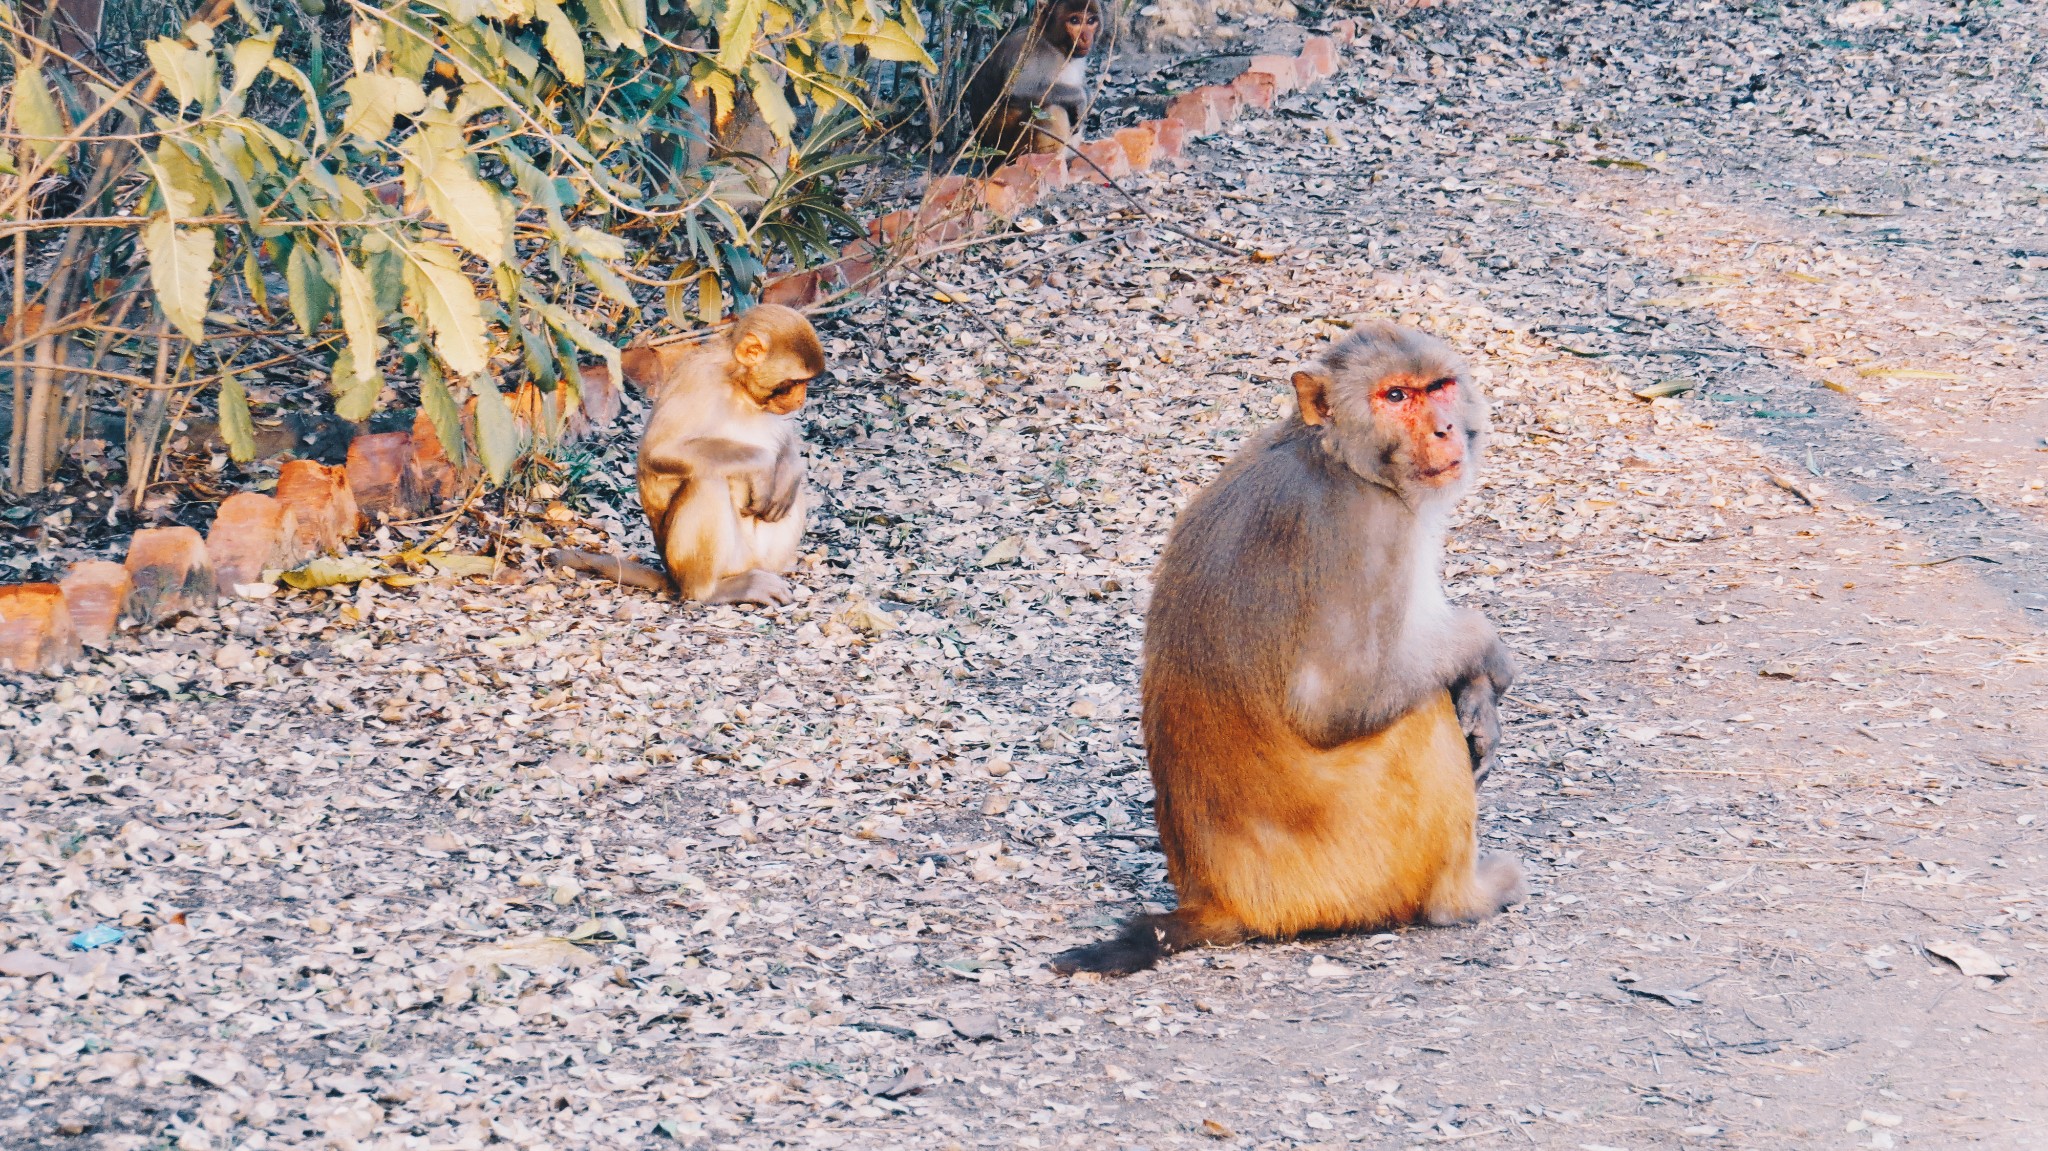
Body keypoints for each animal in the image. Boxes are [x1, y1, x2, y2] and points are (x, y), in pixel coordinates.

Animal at [552, 305, 831, 610]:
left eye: (805, 383)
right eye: (794, 383)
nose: (801, 400)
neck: (738, 385)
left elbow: (786, 444)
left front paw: (791, 469)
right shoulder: (698, 378)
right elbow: (658, 451)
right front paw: (762, 466)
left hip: (759, 558)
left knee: (790, 493)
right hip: (695, 562)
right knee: (707, 480)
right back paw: (712, 591)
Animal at [962, 0, 1097, 158]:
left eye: (1090, 21)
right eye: (1074, 20)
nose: (1086, 37)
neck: (1053, 44)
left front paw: (1087, 95)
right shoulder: (1031, 52)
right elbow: (1016, 91)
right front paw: (1081, 97)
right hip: (1007, 148)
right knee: (1052, 109)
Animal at [1056, 317, 1523, 970]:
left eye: (1440, 387)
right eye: (1395, 396)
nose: (1445, 427)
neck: (1340, 459)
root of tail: (1221, 898)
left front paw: (1479, 697)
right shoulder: (1361, 532)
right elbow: (1336, 699)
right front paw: (1487, 654)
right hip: (1354, 871)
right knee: (1414, 713)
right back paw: (1463, 898)